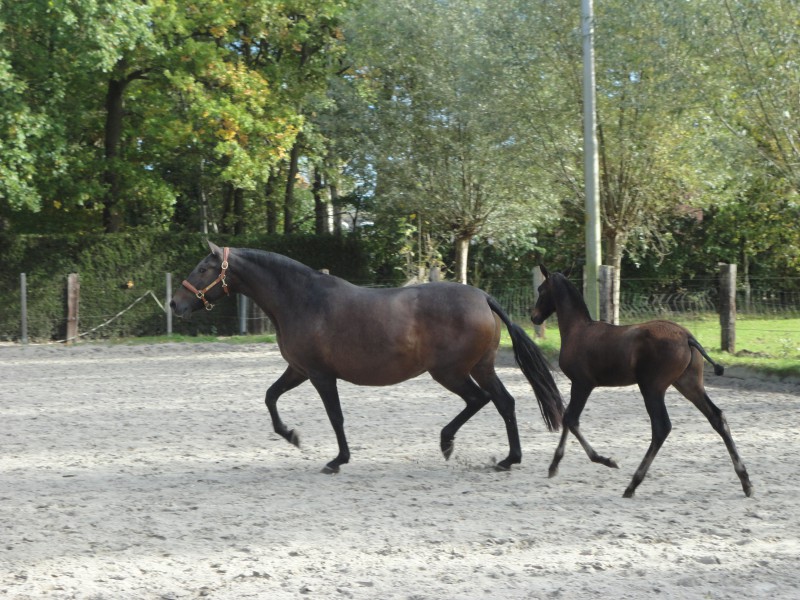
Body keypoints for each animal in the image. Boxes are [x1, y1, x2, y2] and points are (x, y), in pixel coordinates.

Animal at [173, 240, 564, 474]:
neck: (302, 299)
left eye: (204, 268)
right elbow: (270, 398)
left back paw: (448, 443)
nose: (176, 304)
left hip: (450, 372)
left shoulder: (320, 375)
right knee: (504, 402)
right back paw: (508, 459)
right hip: (481, 368)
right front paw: (292, 436)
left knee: (480, 400)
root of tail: (483, 297)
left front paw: (337, 460)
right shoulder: (298, 369)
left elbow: (336, 417)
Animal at [532, 266, 752, 496]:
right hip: (689, 385)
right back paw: (745, 481)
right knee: (717, 417)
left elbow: (570, 418)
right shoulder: (580, 385)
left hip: (652, 388)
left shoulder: (582, 383)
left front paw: (606, 460)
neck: (578, 329)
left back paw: (632, 485)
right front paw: (554, 465)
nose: (534, 317)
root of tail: (687, 337)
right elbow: (568, 417)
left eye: (541, 290)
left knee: (661, 427)